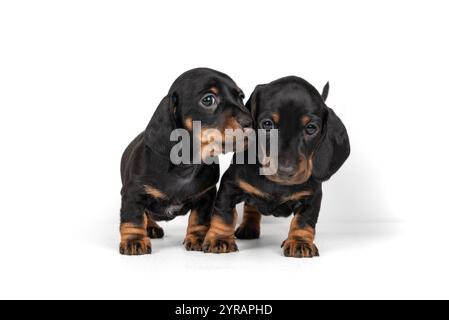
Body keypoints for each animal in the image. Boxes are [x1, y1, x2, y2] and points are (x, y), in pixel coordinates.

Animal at [119, 67, 252, 255]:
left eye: (241, 96)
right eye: (208, 99)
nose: (250, 122)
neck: (185, 167)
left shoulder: (206, 195)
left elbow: (199, 219)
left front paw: (197, 239)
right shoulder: (133, 194)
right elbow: (133, 219)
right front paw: (134, 241)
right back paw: (151, 227)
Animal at [202, 77, 350, 258]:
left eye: (311, 128)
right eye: (267, 124)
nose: (286, 171)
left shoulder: (312, 196)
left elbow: (304, 221)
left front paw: (300, 242)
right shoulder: (230, 185)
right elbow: (224, 214)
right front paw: (219, 239)